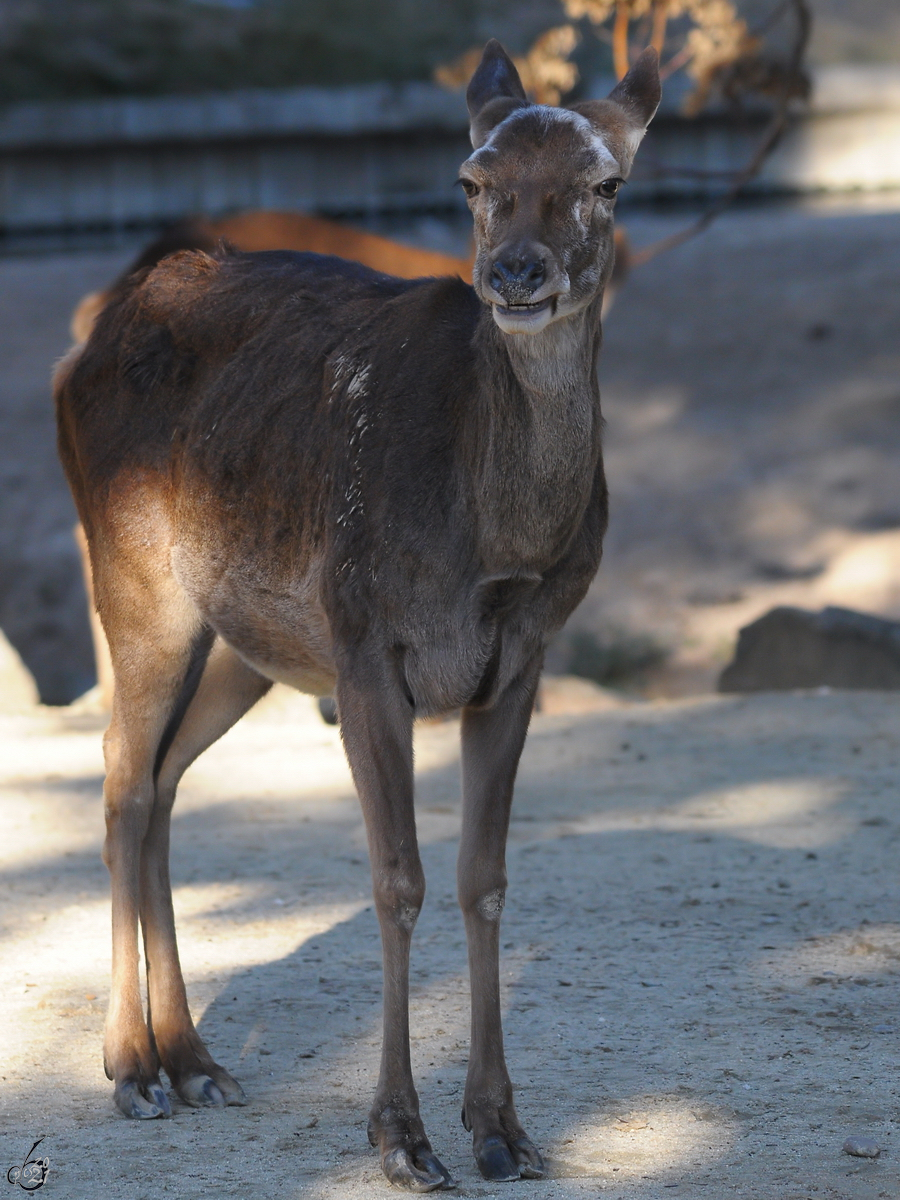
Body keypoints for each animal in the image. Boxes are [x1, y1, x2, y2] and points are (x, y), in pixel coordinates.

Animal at [58, 39, 662, 1190]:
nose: (516, 273)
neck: (496, 548)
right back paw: (132, 1069)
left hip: (251, 642)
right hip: (137, 577)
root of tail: (86, 332)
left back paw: (194, 1059)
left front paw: (502, 1128)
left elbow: (484, 880)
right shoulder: (370, 644)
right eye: (473, 181)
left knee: (163, 779)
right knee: (118, 781)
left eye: (606, 184)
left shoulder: (520, 658)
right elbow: (396, 882)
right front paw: (401, 1137)